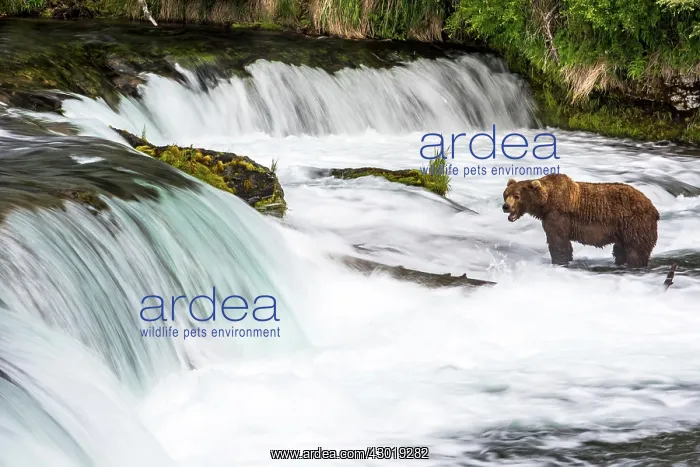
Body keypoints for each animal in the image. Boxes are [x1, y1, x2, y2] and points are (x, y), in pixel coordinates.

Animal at [502, 173, 659, 268]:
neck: (545, 203)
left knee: (636, 250)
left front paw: (559, 261)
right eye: (506, 194)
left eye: (517, 196)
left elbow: (558, 242)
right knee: (620, 251)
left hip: (635, 223)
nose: (505, 207)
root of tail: (653, 207)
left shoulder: (558, 215)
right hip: (623, 231)